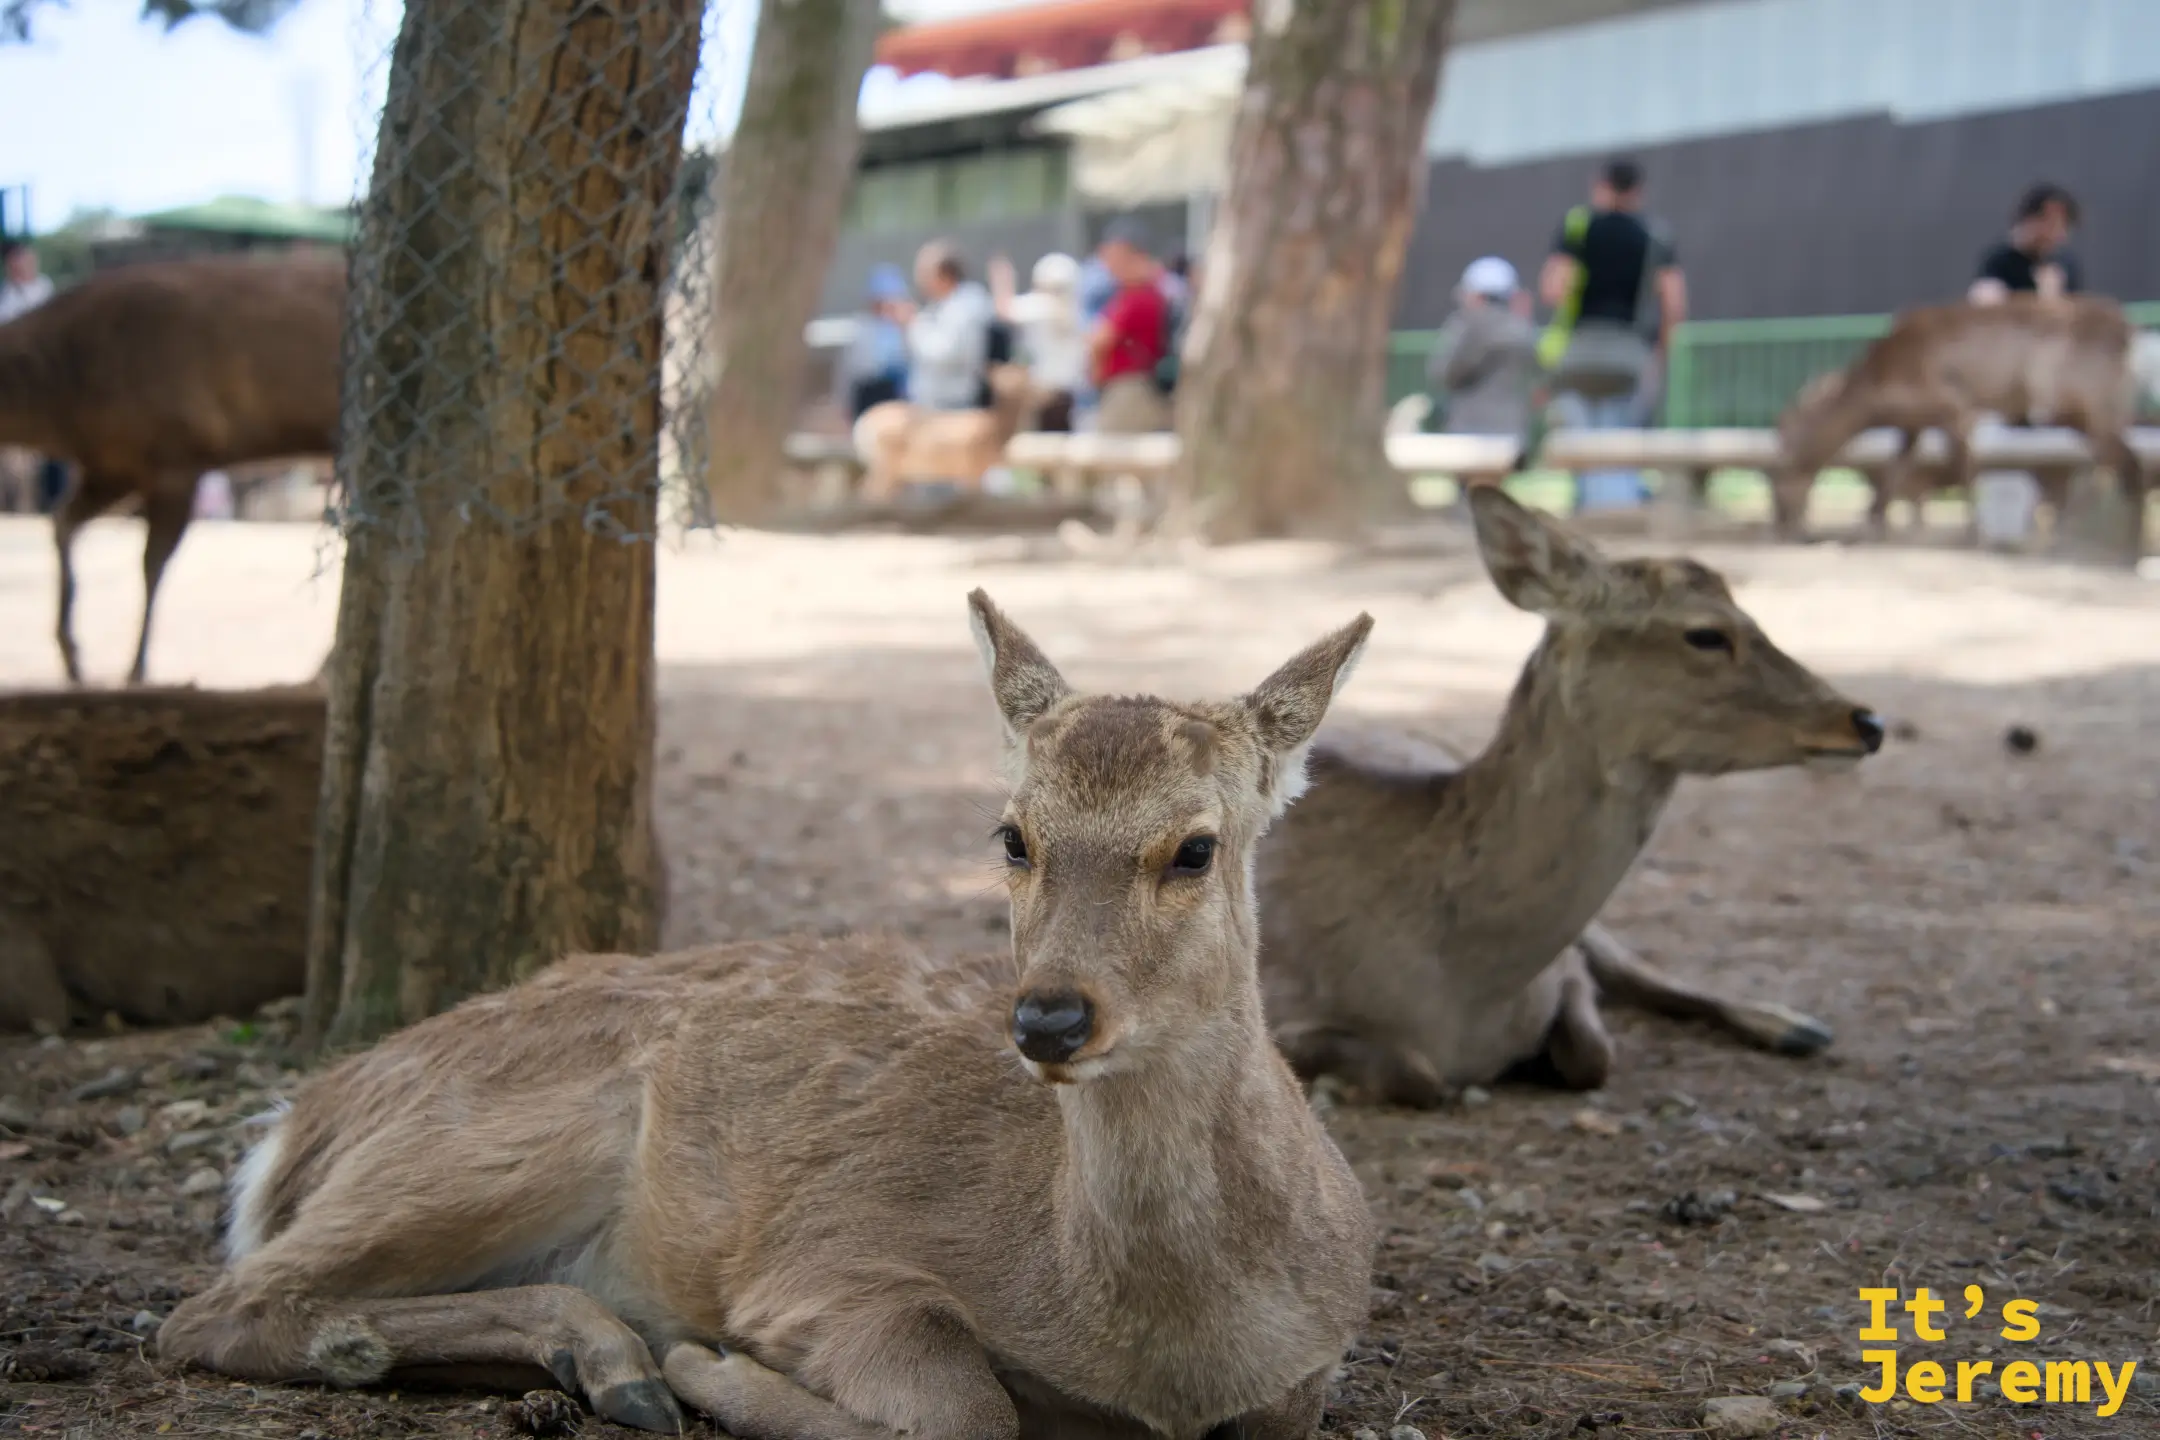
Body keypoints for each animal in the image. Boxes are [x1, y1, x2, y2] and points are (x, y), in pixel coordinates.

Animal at [0, 253, 343, 685]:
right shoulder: (112, 463)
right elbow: (63, 523)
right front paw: (73, 657)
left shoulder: (177, 453)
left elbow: (152, 564)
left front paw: (136, 668)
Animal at [158, 591, 1379, 1440]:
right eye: (1013, 835)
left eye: (1195, 847)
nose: (1048, 1020)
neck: (1167, 1353)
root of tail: (296, 1128)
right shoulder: (824, 1265)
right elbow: (967, 1409)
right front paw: (722, 1370)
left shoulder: (1314, 1360)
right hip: (491, 1140)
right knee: (212, 1306)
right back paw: (619, 1364)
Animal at [1255, 487, 1884, 1108]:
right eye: (1706, 633)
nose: (1866, 721)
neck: (1461, 997)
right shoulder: (1283, 1007)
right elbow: (1421, 1078)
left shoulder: (1569, 969)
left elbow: (1593, 1053)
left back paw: (1796, 1025)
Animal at [1772, 294, 2149, 558]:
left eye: (1787, 447)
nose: (1779, 520)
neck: (1875, 393)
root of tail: (2129, 333)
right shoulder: (1914, 425)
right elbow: (1894, 476)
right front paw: (1863, 530)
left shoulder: (1954, 407)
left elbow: (1964, 468)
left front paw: (1974, 535)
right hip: (2098, 411)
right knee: (2129, 463)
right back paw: (2127, 547)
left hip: (2079, 404)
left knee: (2114, 462)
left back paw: (2058, 536)